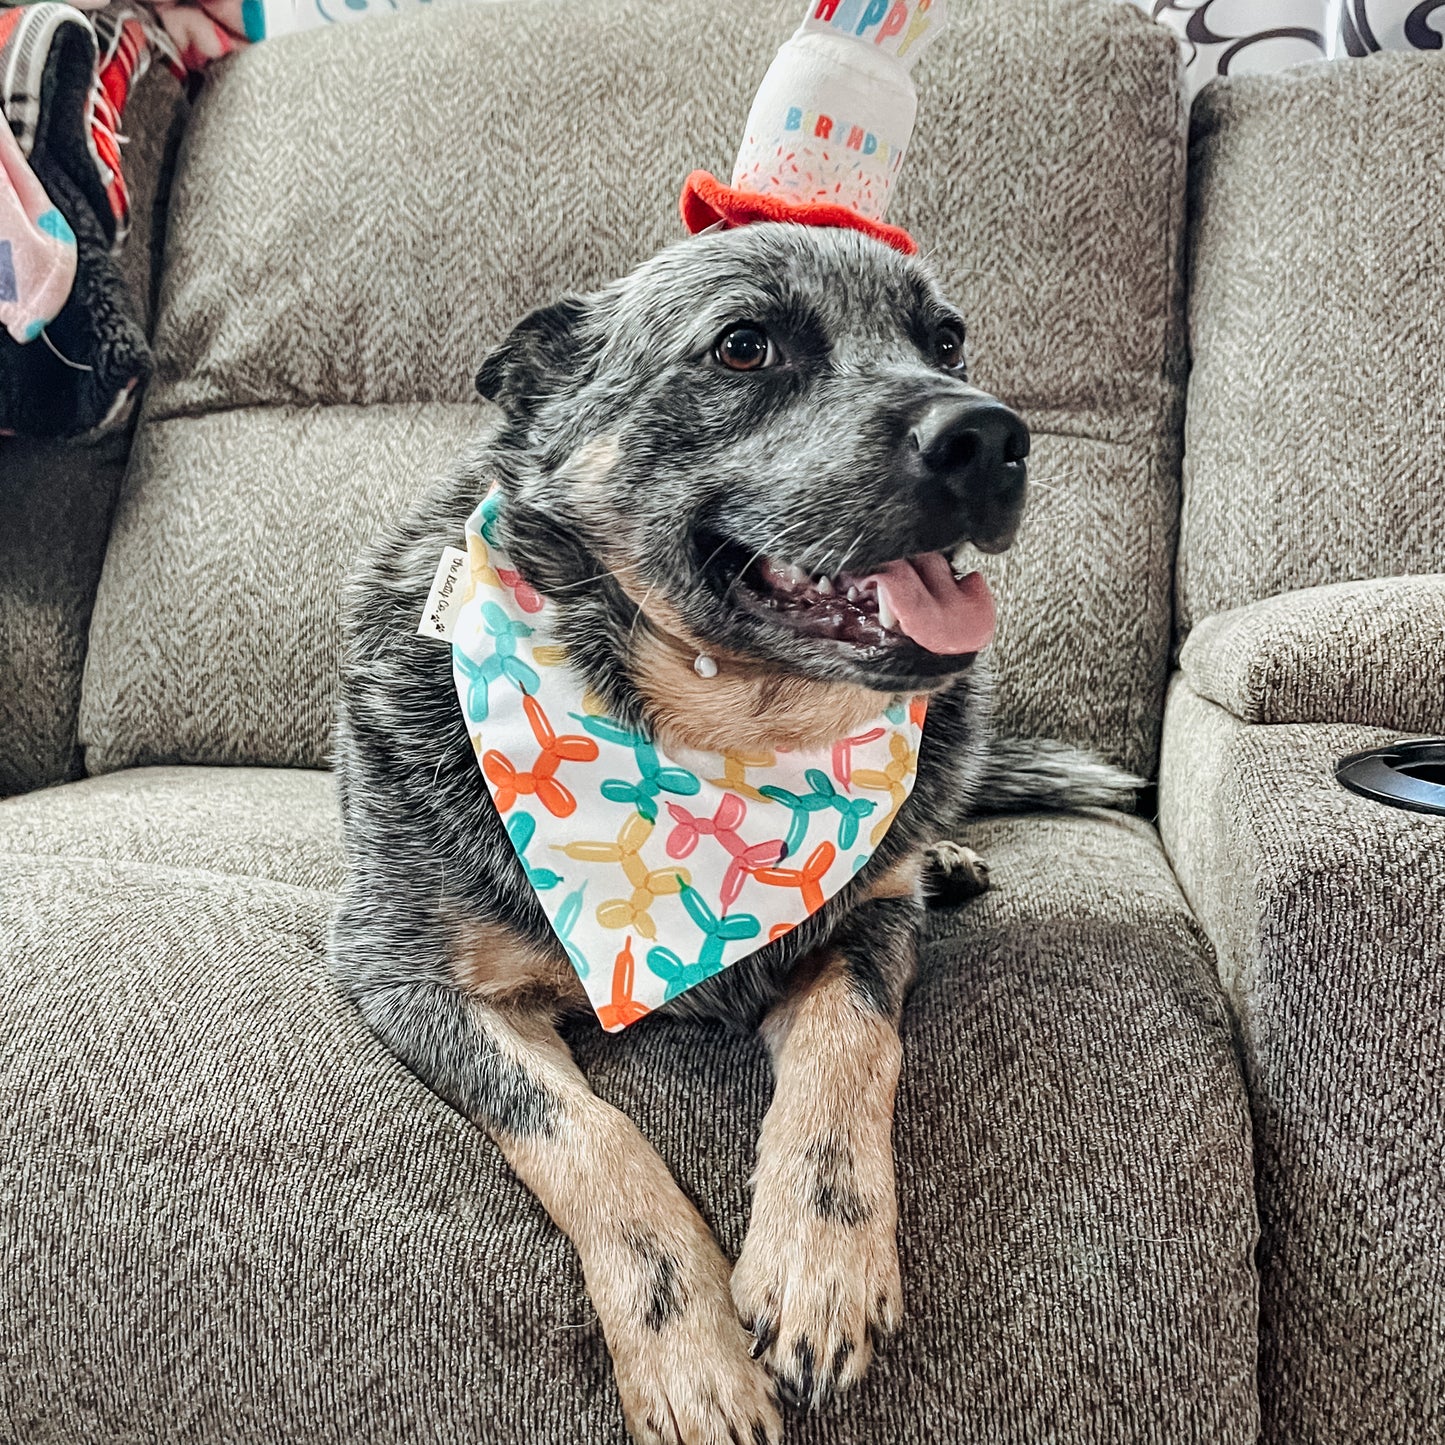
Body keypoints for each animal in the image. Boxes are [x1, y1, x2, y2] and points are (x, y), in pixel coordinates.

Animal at [332, 219, 1132, 1439]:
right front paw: (689, 1349)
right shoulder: (407, 979)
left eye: (945, 339)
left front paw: (819, 1263)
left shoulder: (862, 932)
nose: (990, 435)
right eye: (743, 345)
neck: (717, 739)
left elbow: (852, 1049)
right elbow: (588, 1137)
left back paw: (943, 853)